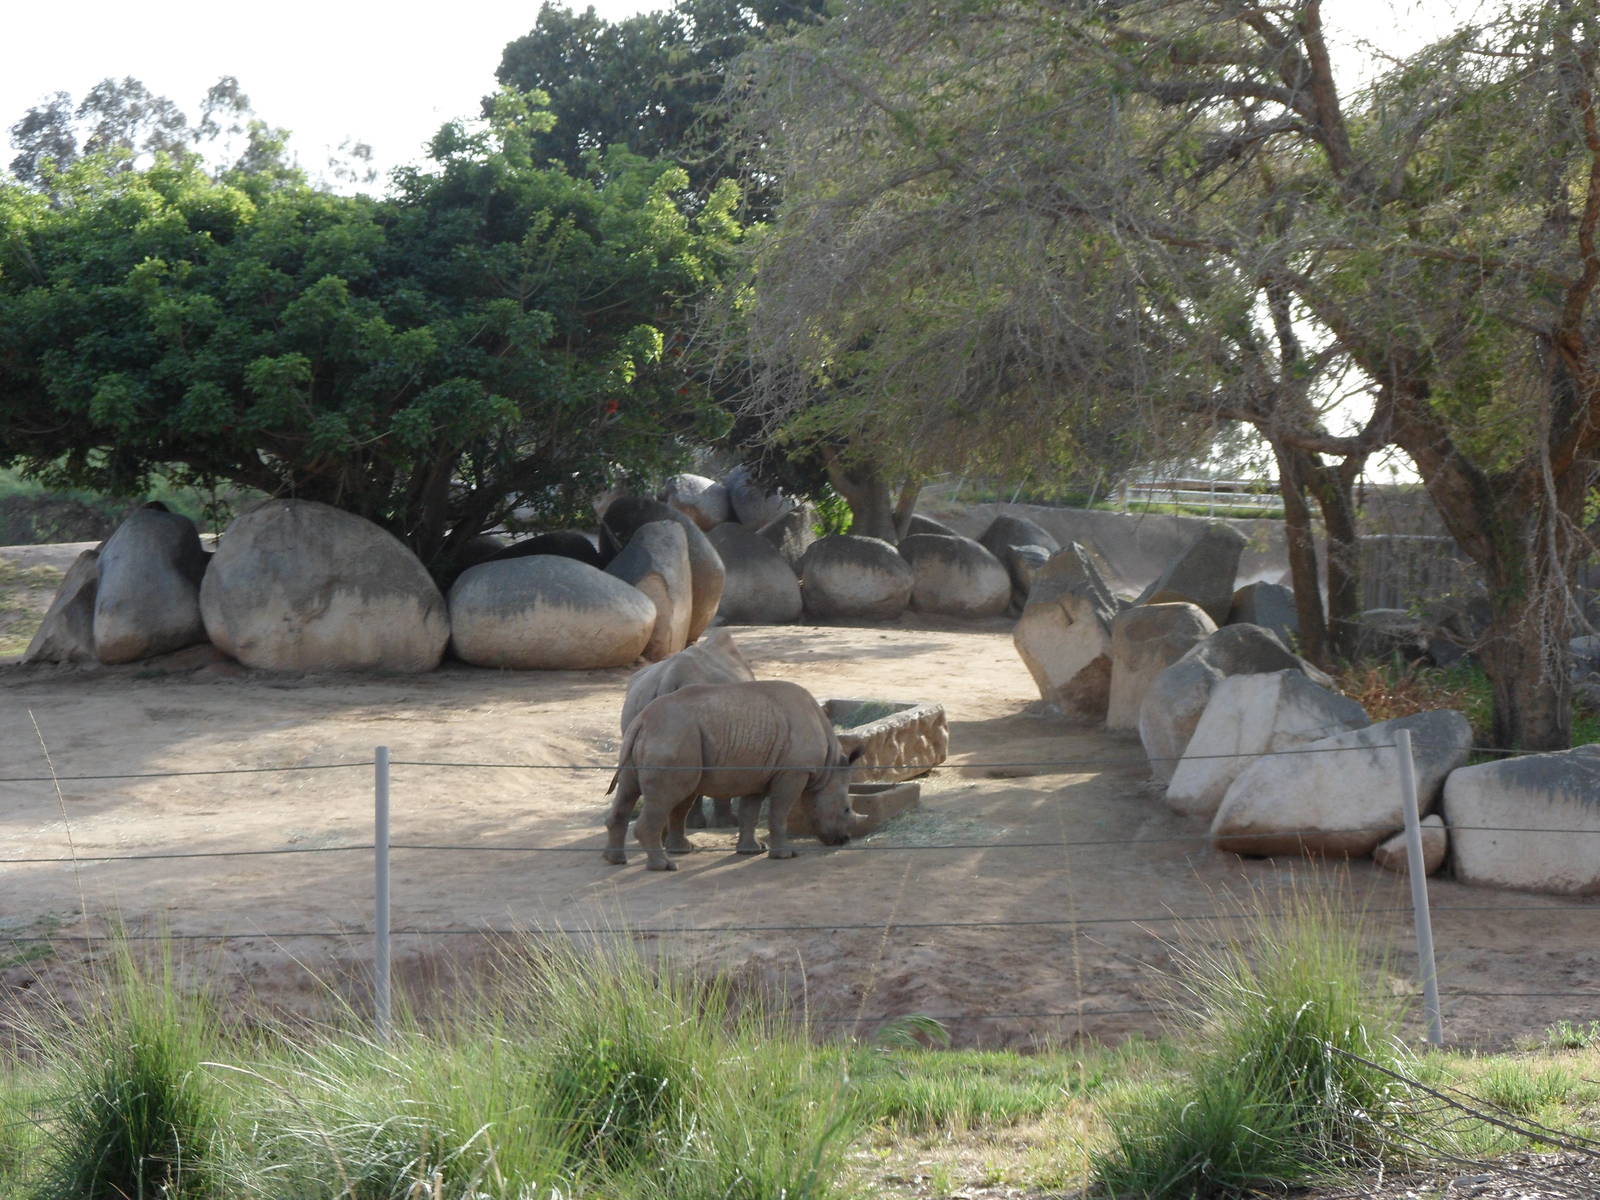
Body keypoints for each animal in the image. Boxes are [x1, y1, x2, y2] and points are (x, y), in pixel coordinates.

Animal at [605, 679, 864, 870]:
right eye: (846, 809)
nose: (844, 840)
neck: (828, 768)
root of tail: (642, 720)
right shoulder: (793, 773)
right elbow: (779, 812)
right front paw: (785, 855)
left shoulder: (758, 773)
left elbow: (750, 812)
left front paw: (751, 850)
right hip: (673, 736)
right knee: (669, 796)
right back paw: (664, 866)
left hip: (663, 737)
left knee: (637, 791)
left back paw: (618, 859)